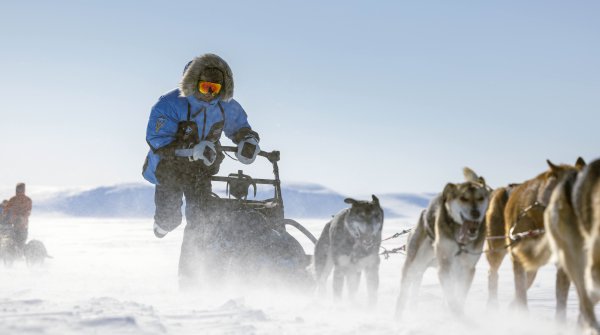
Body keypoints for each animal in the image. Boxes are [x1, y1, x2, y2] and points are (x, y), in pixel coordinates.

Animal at [396, 168, 490, 318]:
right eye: (463, 198)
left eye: (481, 198)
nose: (476, 213)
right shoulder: (445, 266)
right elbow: (451, 298)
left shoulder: (467, 268)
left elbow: (459, 297)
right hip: (412, 265)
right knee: (403, 294)